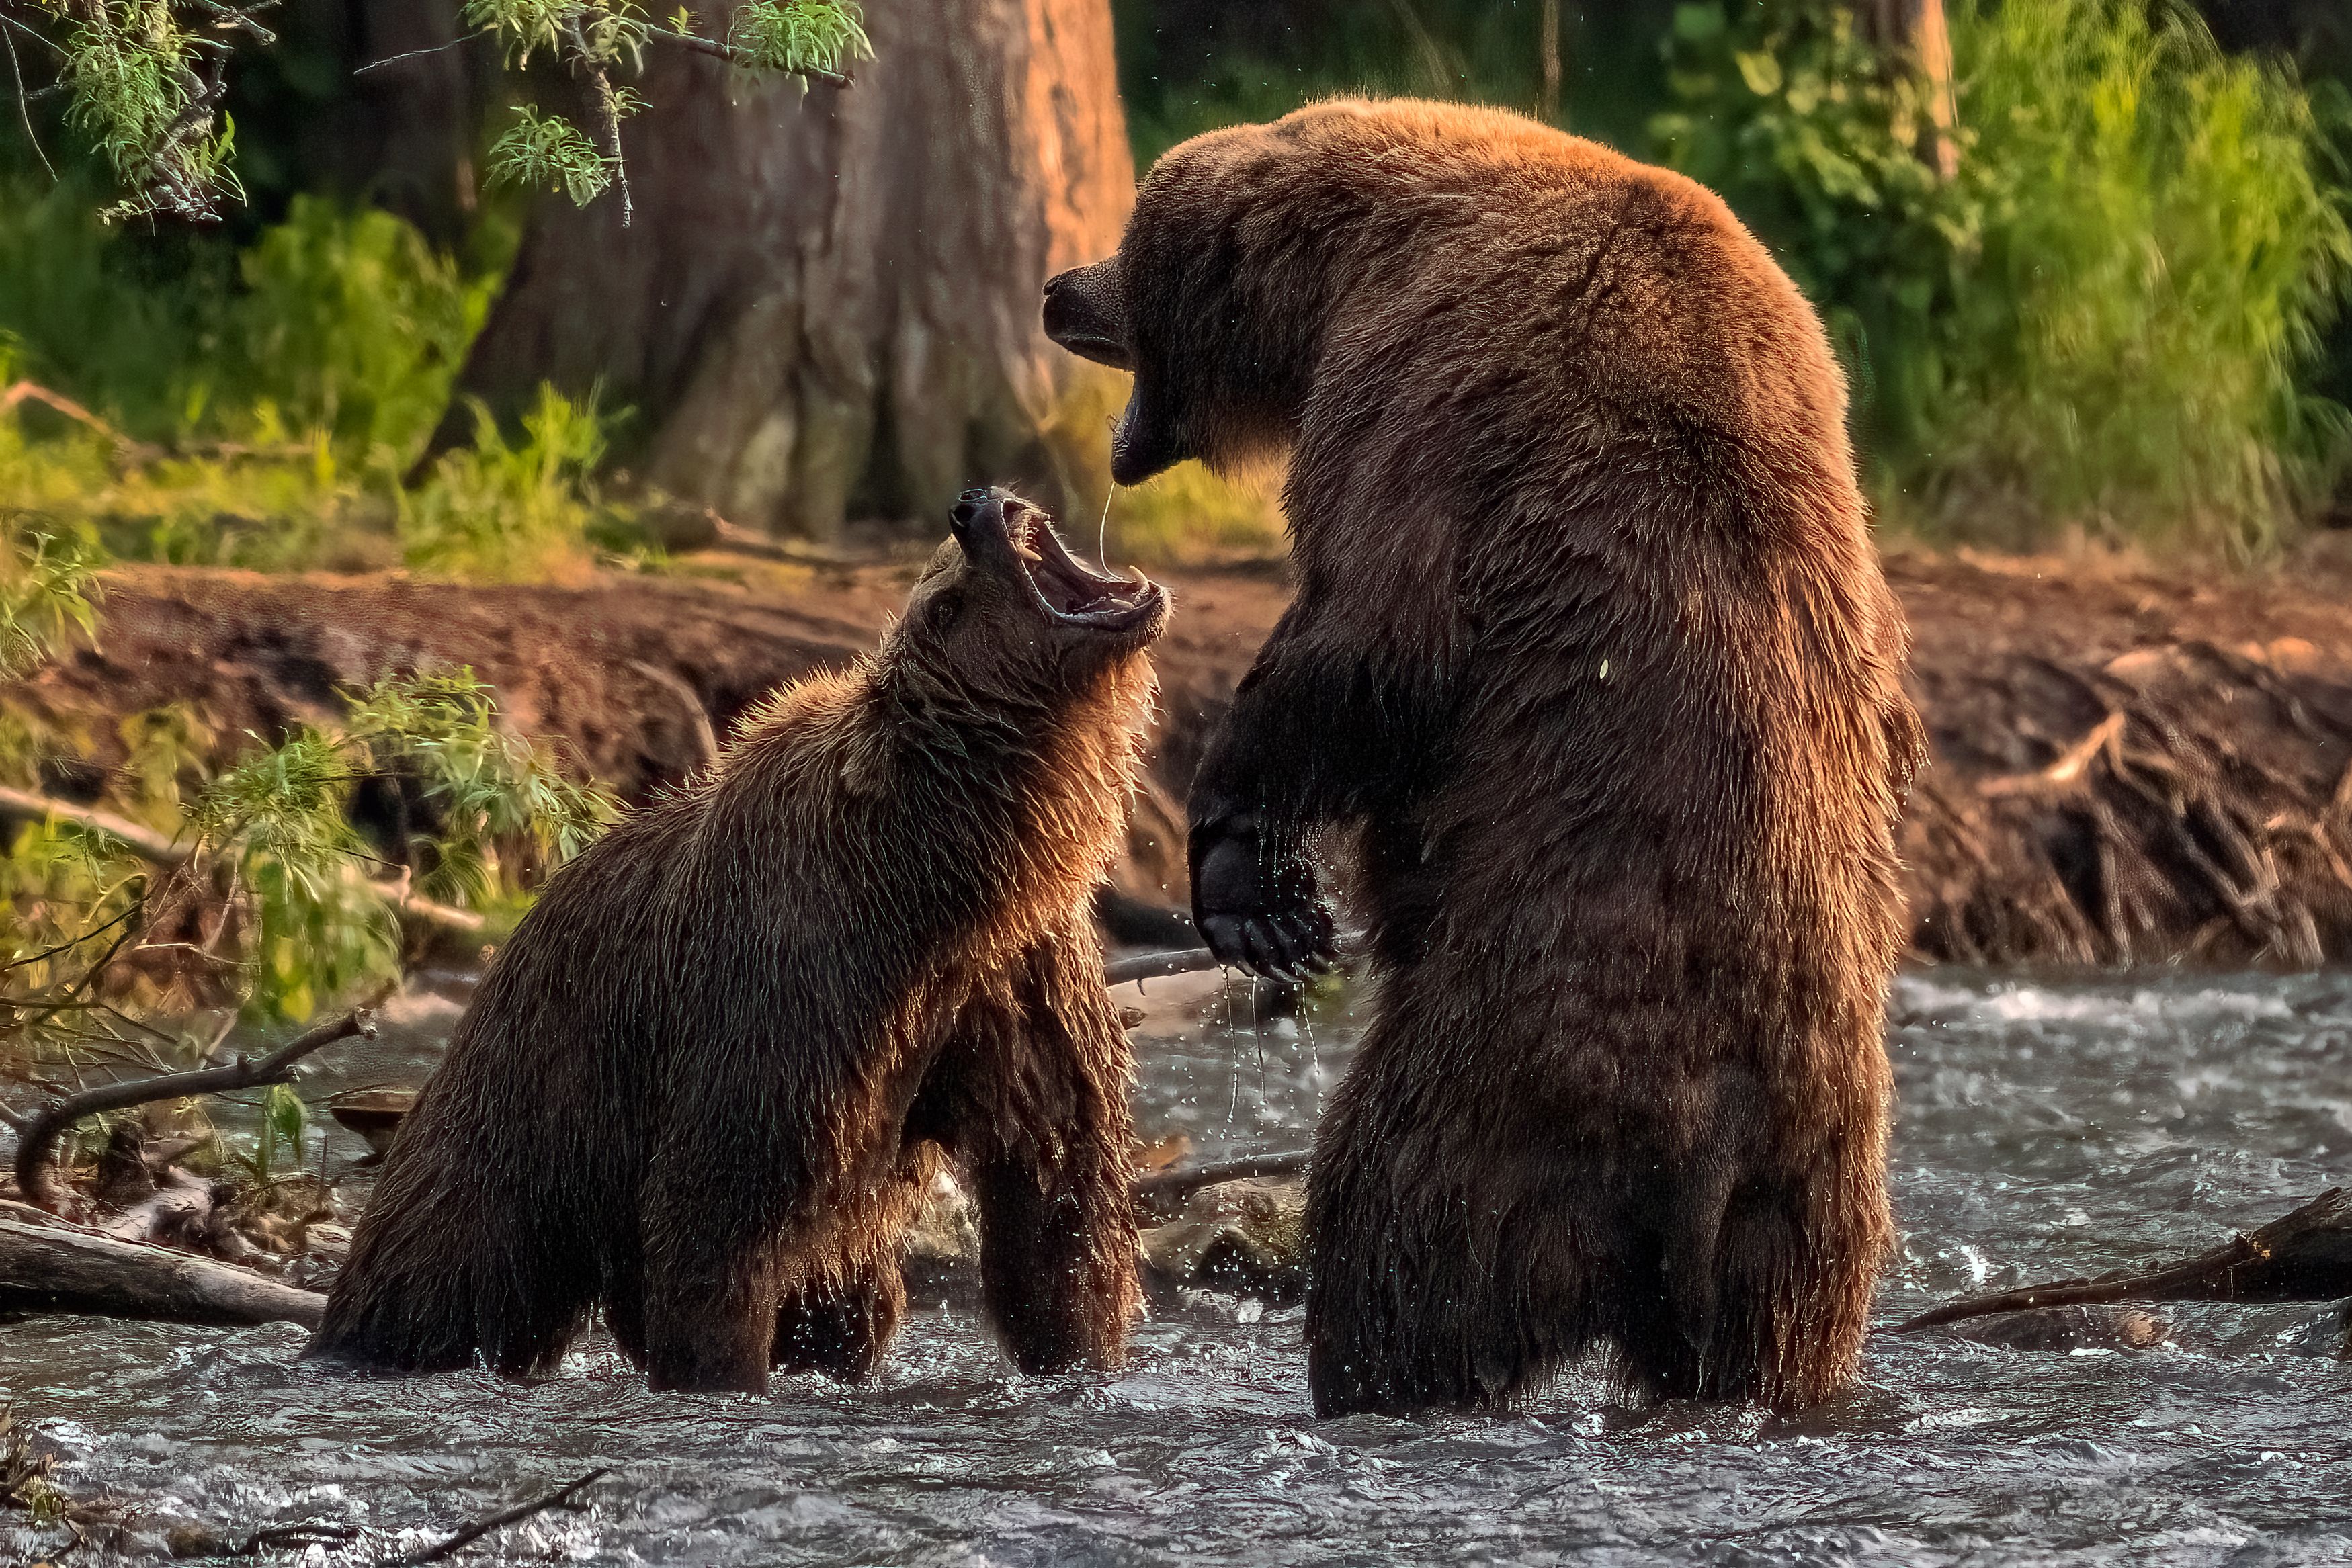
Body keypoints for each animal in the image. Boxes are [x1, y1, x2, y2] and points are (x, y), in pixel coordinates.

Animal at [303, 493, 1167, 1401]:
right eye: (945, 602)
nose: (975, 510)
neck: (937, 887)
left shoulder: (1019, 981)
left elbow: (1058, 1189)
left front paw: (1082, 1354)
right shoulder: (788, 978)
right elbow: (723, 1210)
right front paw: (722, 1370)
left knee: (852, 1300)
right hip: (533, 1105)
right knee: (449, 1252)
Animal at [1054, 101, 1929, 1420]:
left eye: (1134, 238)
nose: (1062, 286)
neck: (1349, 269)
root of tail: (1708, 1132)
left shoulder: (1431, 408)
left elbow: (1368, 652)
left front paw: (1258, 888)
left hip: (1507, 1084)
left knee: (1399, 1239)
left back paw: (1365, 1363)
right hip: (1803, 1206)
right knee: (1779, 1329)